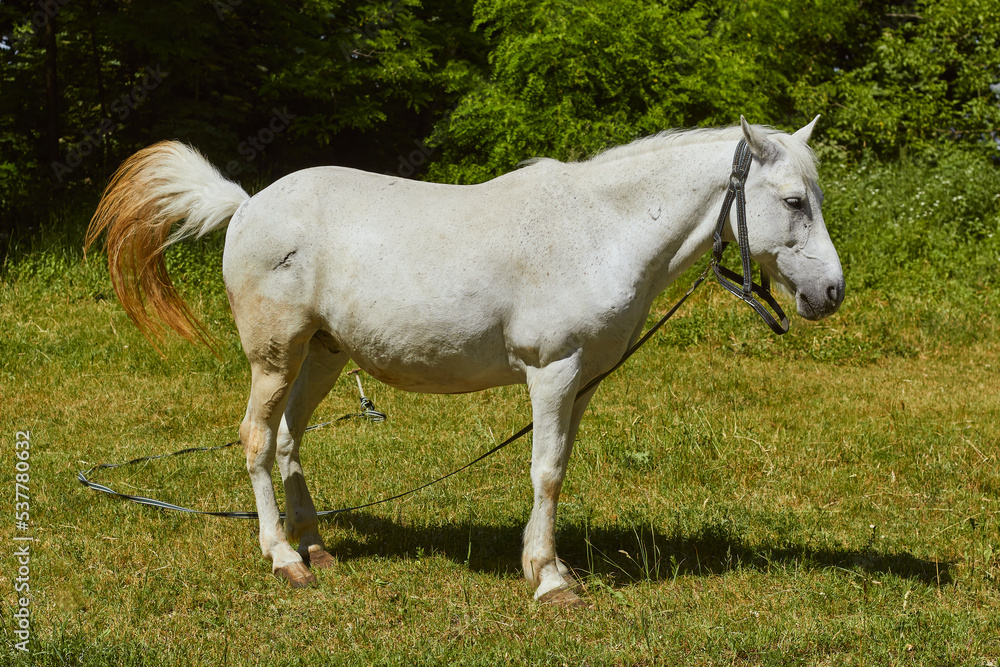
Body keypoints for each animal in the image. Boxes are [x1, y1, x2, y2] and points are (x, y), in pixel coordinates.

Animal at [86, 117, 844, 606]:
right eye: (793, 201)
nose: (831, 292)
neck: (600, 229)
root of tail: (247, 205)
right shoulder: (552, 372)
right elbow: (545, 472)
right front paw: (549, 580)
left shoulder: (582, 384)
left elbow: (559, 466)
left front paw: (550, 563)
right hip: (274, 357)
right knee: (256, 440)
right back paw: (283, 560)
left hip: (323, 356)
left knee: (290, 438)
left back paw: (317, 547)